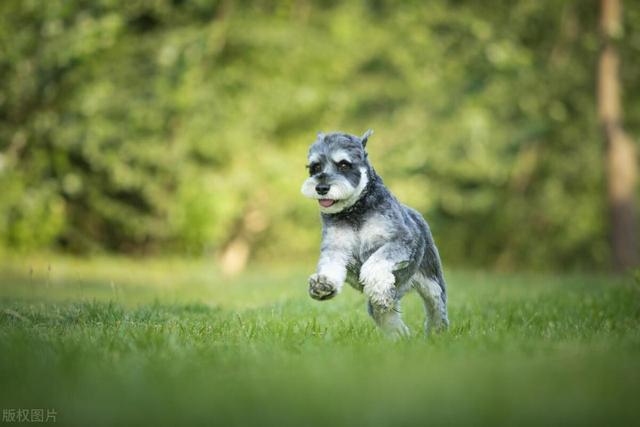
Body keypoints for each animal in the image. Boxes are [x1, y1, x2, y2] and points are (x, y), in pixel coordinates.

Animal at [302, 130, 448, 338]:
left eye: (344, 164)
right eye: (315, 167)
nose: (321, 188)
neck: (354, 210)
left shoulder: (400, 241)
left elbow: (376, 262)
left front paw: (378, 285)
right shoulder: (335, 248)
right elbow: (330, 266)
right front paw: (323, 285)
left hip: (432, 282)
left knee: (436, 309)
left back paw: (437, 334)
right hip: (383, 305)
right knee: (389, 318)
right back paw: (401, 337)